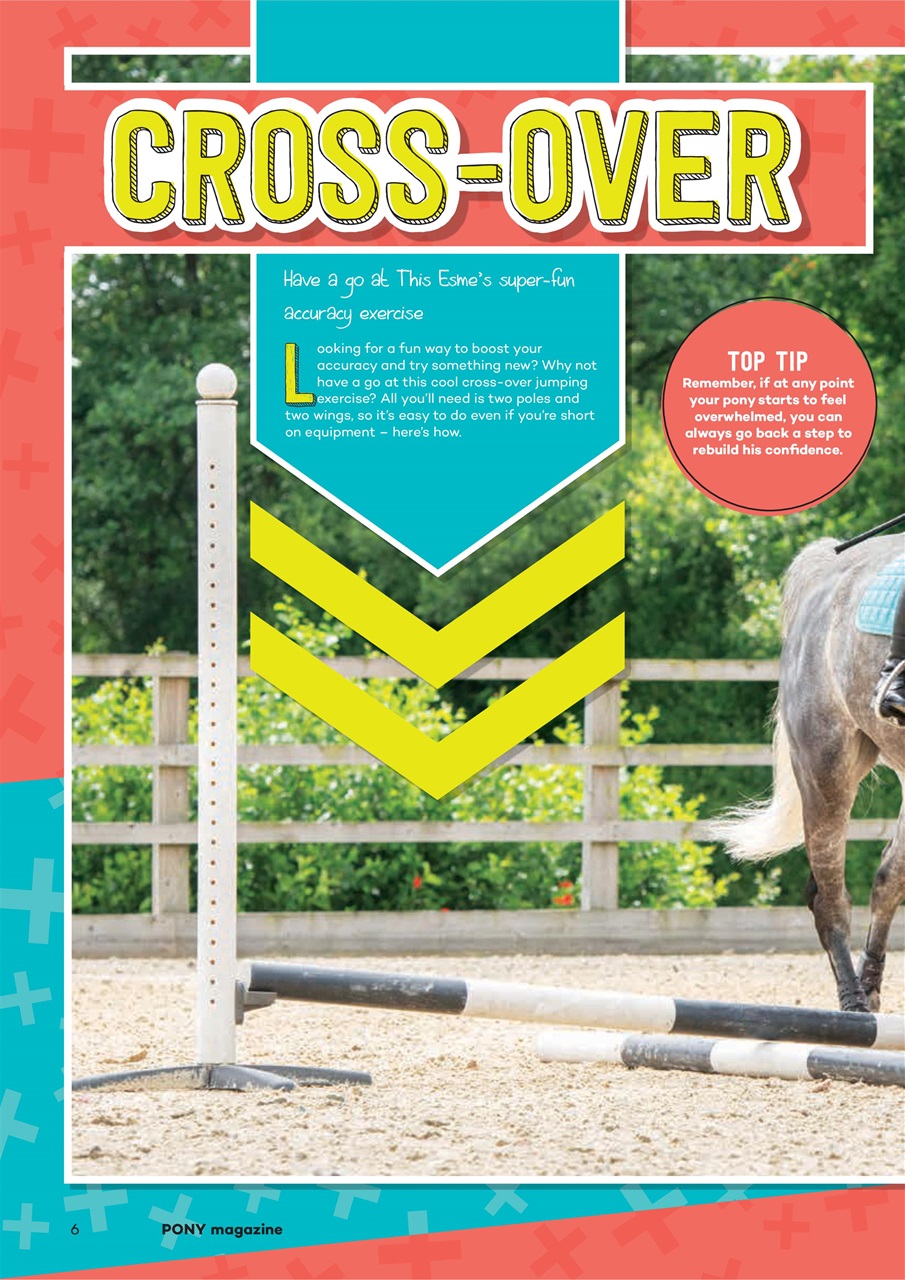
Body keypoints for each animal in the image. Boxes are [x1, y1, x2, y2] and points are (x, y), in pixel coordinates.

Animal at [711, 534, 904, 1013]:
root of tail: (825, 568)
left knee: (886, 879)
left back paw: (869, 989)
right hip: (825, 769)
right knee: (829, 896)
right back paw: (853, 1004)